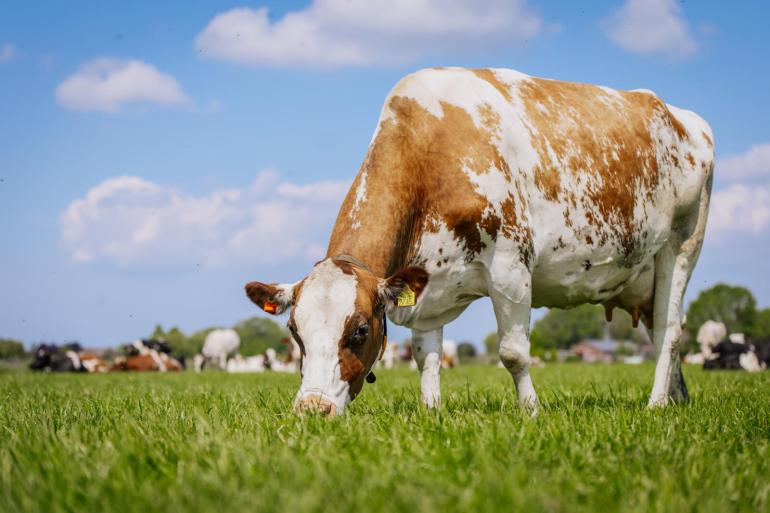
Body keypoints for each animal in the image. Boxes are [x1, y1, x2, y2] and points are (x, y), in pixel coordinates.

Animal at [244, 67, 714, 415]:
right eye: (294, 331)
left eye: (359, 330)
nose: (312, 409)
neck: (430, 151)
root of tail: (683, 117)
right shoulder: (427, 288)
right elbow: (426, 356)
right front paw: (432, 412)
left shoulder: (510, 264)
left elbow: (513, 352)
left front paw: (531, 411)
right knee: (659, 330)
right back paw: (678, 398)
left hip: (682, 245)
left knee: (669, 331)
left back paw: (656, 405)